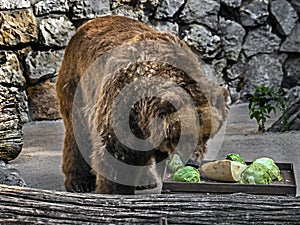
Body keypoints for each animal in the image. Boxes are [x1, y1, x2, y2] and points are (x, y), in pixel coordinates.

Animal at [55, 15, 227, 195]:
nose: (193, 162)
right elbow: (117, 151)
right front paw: (116, 189)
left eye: (206, 135)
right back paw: (79, 182)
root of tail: (89, 23)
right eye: (185, 135)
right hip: (78, 86)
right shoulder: (120, 103)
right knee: (78, 134)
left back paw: (145, 180)